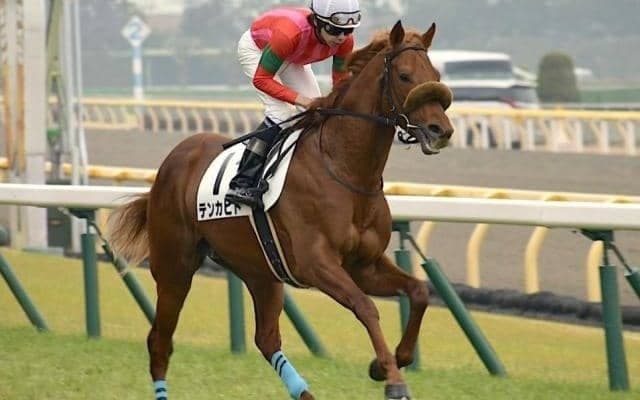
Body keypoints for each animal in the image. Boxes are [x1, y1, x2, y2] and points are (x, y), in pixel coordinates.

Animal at [109, 20, 453, 400]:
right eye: (405, 76)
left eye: (435, 74)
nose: (442, 131)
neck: (344, 168)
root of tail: (174, 158)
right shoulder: (316, 263)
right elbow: (365, 307)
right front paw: (392, 379)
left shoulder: (364, 265)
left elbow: (418, 292)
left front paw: (390, 362)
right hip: (175, 267)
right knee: (160, 340)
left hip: (260, 270)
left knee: (266, 338)